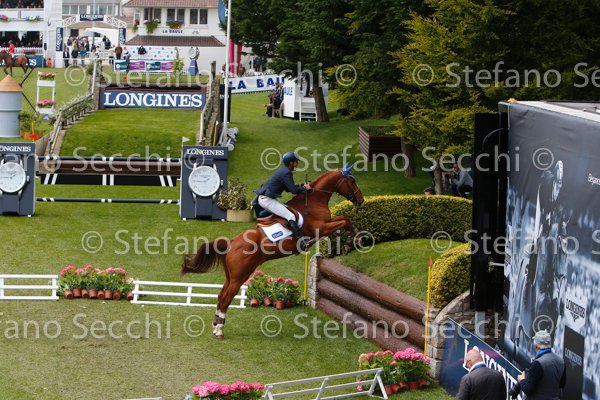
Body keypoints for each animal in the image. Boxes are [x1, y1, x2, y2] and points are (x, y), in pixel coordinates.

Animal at [181, 163, 365, 339]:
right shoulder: (322, 228)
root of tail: (232, 243)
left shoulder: (327, 224)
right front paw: (354, 240)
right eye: (352, 181)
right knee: (226, 298)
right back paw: (219, 330)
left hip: (231, 276)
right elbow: (345, 221)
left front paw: (352, 241)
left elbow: (344, 218)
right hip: (239, 277)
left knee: (220, 296)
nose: (361, 200)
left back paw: (215, 326)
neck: (313, 201)